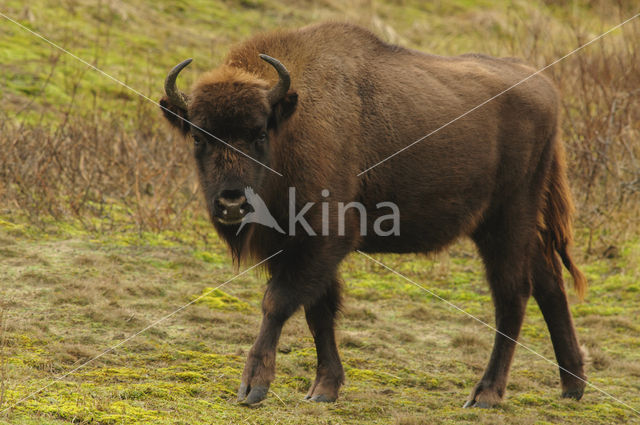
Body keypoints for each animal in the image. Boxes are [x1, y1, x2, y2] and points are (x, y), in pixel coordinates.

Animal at [159, 21, 584, 406]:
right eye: (197, 136)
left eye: (259, 133)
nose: (232, 202)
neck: (293, 122)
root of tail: (545, 87)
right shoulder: (293, 246)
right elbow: (319, 312)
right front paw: (323, 390)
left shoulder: (323, 239)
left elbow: (278, 302)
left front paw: (252, 388)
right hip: (515, 227)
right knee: (549, 284)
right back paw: (572, 387)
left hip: (507, 221)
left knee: (513, 295)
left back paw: (485, 395)